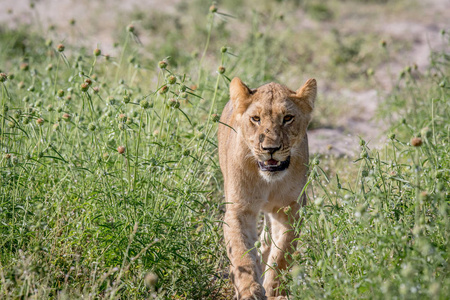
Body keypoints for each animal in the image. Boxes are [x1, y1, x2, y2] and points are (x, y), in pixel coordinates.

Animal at [218, 78, 316, 300]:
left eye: (287, 118)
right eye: (256, 118)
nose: (270, 149)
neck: (268, 182)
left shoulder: (290, 209)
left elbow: (282, 253)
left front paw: (273, 291)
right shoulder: (239, 209)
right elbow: (241, 252)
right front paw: (249, 290)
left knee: (266, 242)